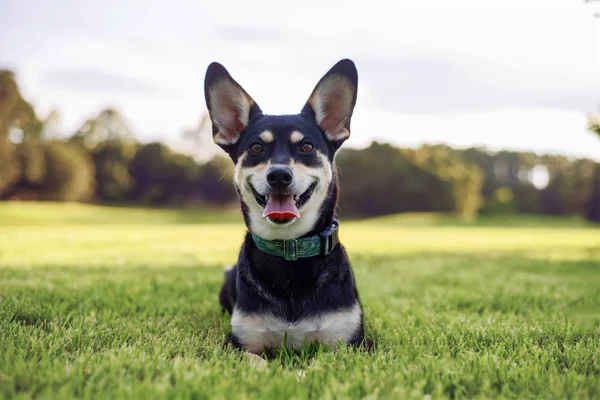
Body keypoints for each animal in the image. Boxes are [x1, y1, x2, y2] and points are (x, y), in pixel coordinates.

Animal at [204, 58, 366, 356]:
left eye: (306, 146)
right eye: (256, 147)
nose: (279, 175)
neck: (289, 250)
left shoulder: (352, 345)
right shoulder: (237, 345)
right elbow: (257, 361)